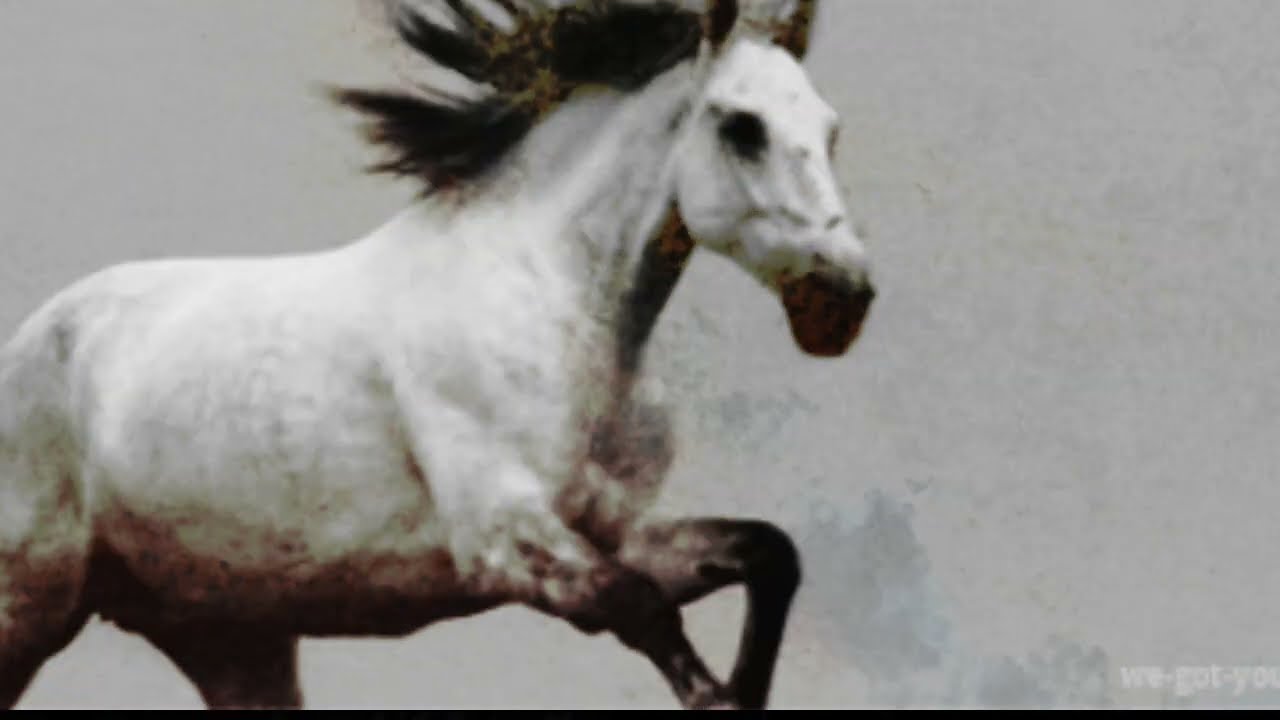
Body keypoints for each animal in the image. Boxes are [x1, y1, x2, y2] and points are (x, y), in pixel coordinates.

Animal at [0, 0, 874, 709]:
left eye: (830, 129)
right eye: (742, 126)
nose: (844, 299)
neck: (557, 310)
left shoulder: (614, 530)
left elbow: (767, 553)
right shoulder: (503, 539)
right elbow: (644, 612)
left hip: (234, 640)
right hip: (27, 610)